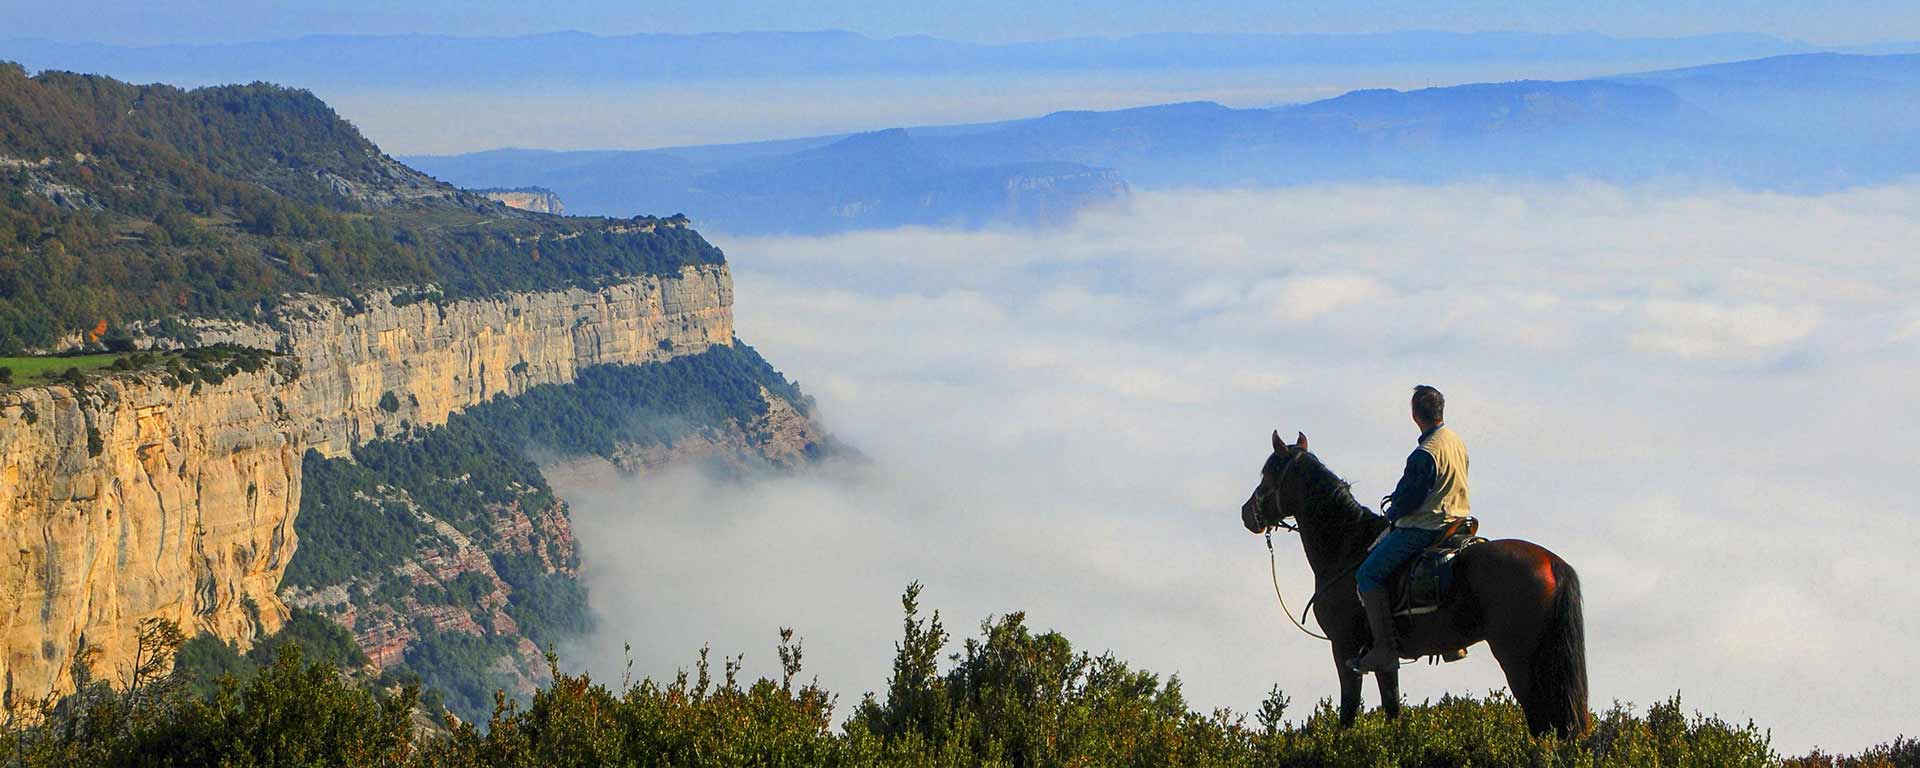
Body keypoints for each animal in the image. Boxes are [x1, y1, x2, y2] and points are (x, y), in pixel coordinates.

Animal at [1244, 428, 1589, 733]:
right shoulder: (1383, 660)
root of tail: (1553, 563)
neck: (1347, 545)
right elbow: (1392, 708)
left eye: (1268, 474)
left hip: (1519, 658)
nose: (1247, 513)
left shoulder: (1344, 648)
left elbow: (1348, 713)